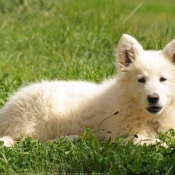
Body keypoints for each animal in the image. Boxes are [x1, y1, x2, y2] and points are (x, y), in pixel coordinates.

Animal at [0, 33, 175, 146]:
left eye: (163, 79)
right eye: (141, 80)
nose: (153, 98)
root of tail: (6, 113)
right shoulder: (119, 135)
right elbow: (148, 140)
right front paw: (161, 145)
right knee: (29, 141)